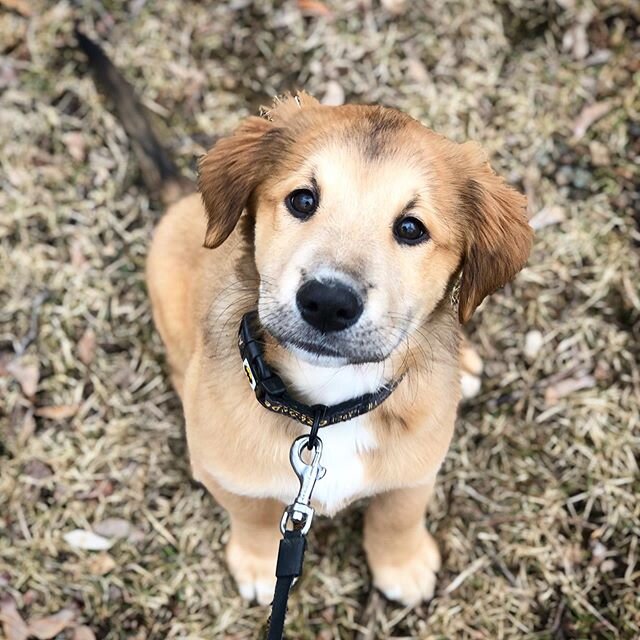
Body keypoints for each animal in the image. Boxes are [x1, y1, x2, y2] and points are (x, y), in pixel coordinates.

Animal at [146, 92, 536, 608]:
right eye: (303, 199)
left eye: (411, 228)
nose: (328, 303)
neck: (327, 412)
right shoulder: (231, 473)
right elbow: (251, 513)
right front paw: (256, 562)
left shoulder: (417, 466)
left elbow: (399, 513)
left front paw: (403, 565)